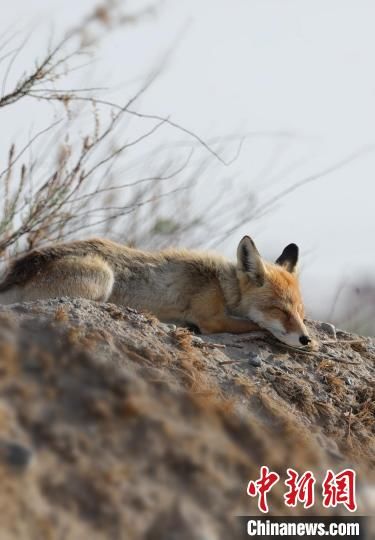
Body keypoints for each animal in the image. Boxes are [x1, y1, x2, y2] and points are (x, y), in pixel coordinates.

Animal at [0, 234, 312, 348]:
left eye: (300, 312)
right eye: (278, 310)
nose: (306, 339)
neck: (222, 285)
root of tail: (19, 268)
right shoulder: (212, 320)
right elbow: (255, 325)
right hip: (104, 277)